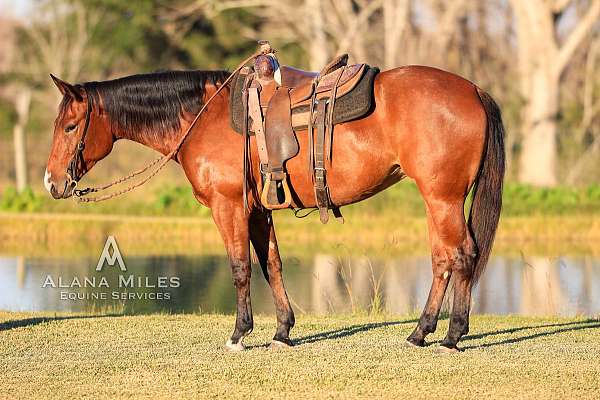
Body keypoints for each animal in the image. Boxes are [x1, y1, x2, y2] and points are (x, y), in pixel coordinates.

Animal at [43, 65, 502, 354]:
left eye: (70, 127)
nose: (52, 183)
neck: (204, 118)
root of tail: (473, 90)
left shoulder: (228, 207)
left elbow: (240, 267)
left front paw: (239, 334)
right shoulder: (259, 211)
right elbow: (272, 265)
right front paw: (283, 331)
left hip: (442, 199)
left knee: (462, 255)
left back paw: (451, 336)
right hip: (437, 200)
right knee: (443, 259)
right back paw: (421, 333)